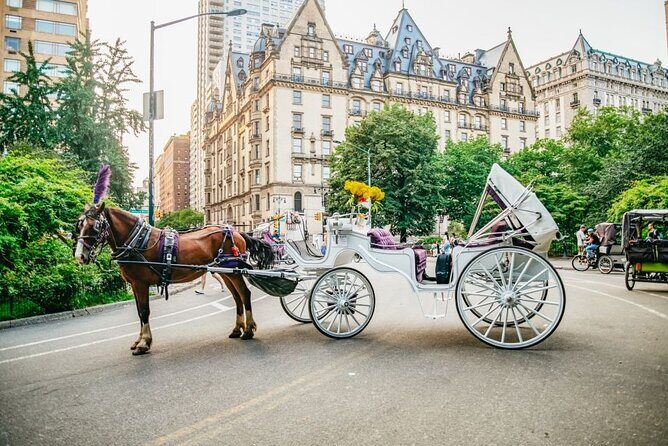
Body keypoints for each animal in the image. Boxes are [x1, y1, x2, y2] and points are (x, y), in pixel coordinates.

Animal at [74, 194, 273, 355]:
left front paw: (144, 343)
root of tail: (236, 231)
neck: (137, 242)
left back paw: (249, 330)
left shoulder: (140, 283)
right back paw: (237, 329)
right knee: (237, 297)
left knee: (245, 294)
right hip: (226, 272)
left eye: (95, 226)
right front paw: (139, 341)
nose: (79, 256)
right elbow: (139, 312)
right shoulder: (134, 285)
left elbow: (144, 311)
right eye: (79, 225)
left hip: (234, 272)